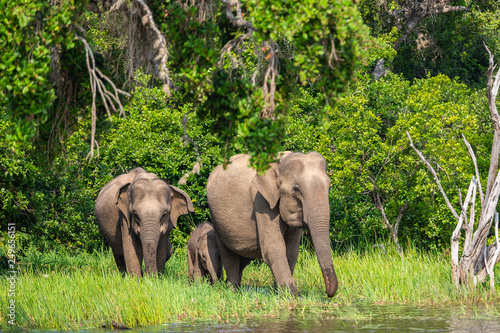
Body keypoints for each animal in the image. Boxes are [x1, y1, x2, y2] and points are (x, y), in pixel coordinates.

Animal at [205, 150, 338, 296]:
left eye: (329, 186)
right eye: (297, 189)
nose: (328, 294)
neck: (279, 162)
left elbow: (292, 251)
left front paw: (279, 294)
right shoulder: (260, 199)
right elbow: (273, 248)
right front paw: (292, 296)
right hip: (216, 217)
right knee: (227, 254)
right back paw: (233, 292)